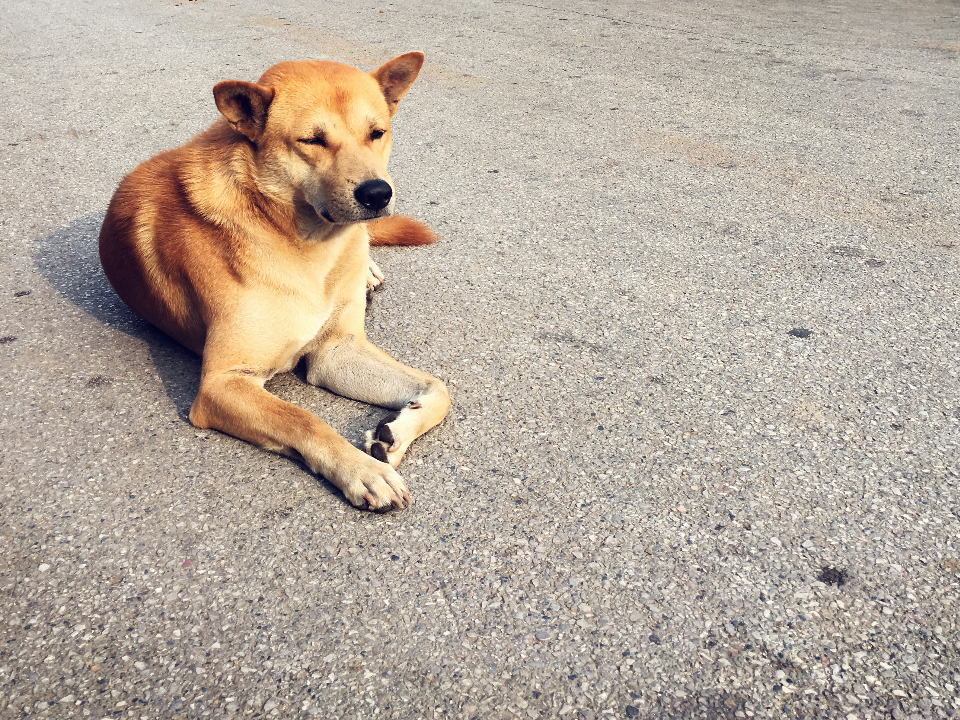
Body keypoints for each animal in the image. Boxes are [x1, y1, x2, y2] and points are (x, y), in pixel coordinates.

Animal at [99, 53, 452, 510]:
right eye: (312, 141)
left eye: (377, 133)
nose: (377, 194)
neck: (304, 244)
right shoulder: (222, 383)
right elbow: (303, 419)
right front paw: (362, 469)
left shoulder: (336, 351)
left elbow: (440, 389)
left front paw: (396, 433)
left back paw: (367, 270)